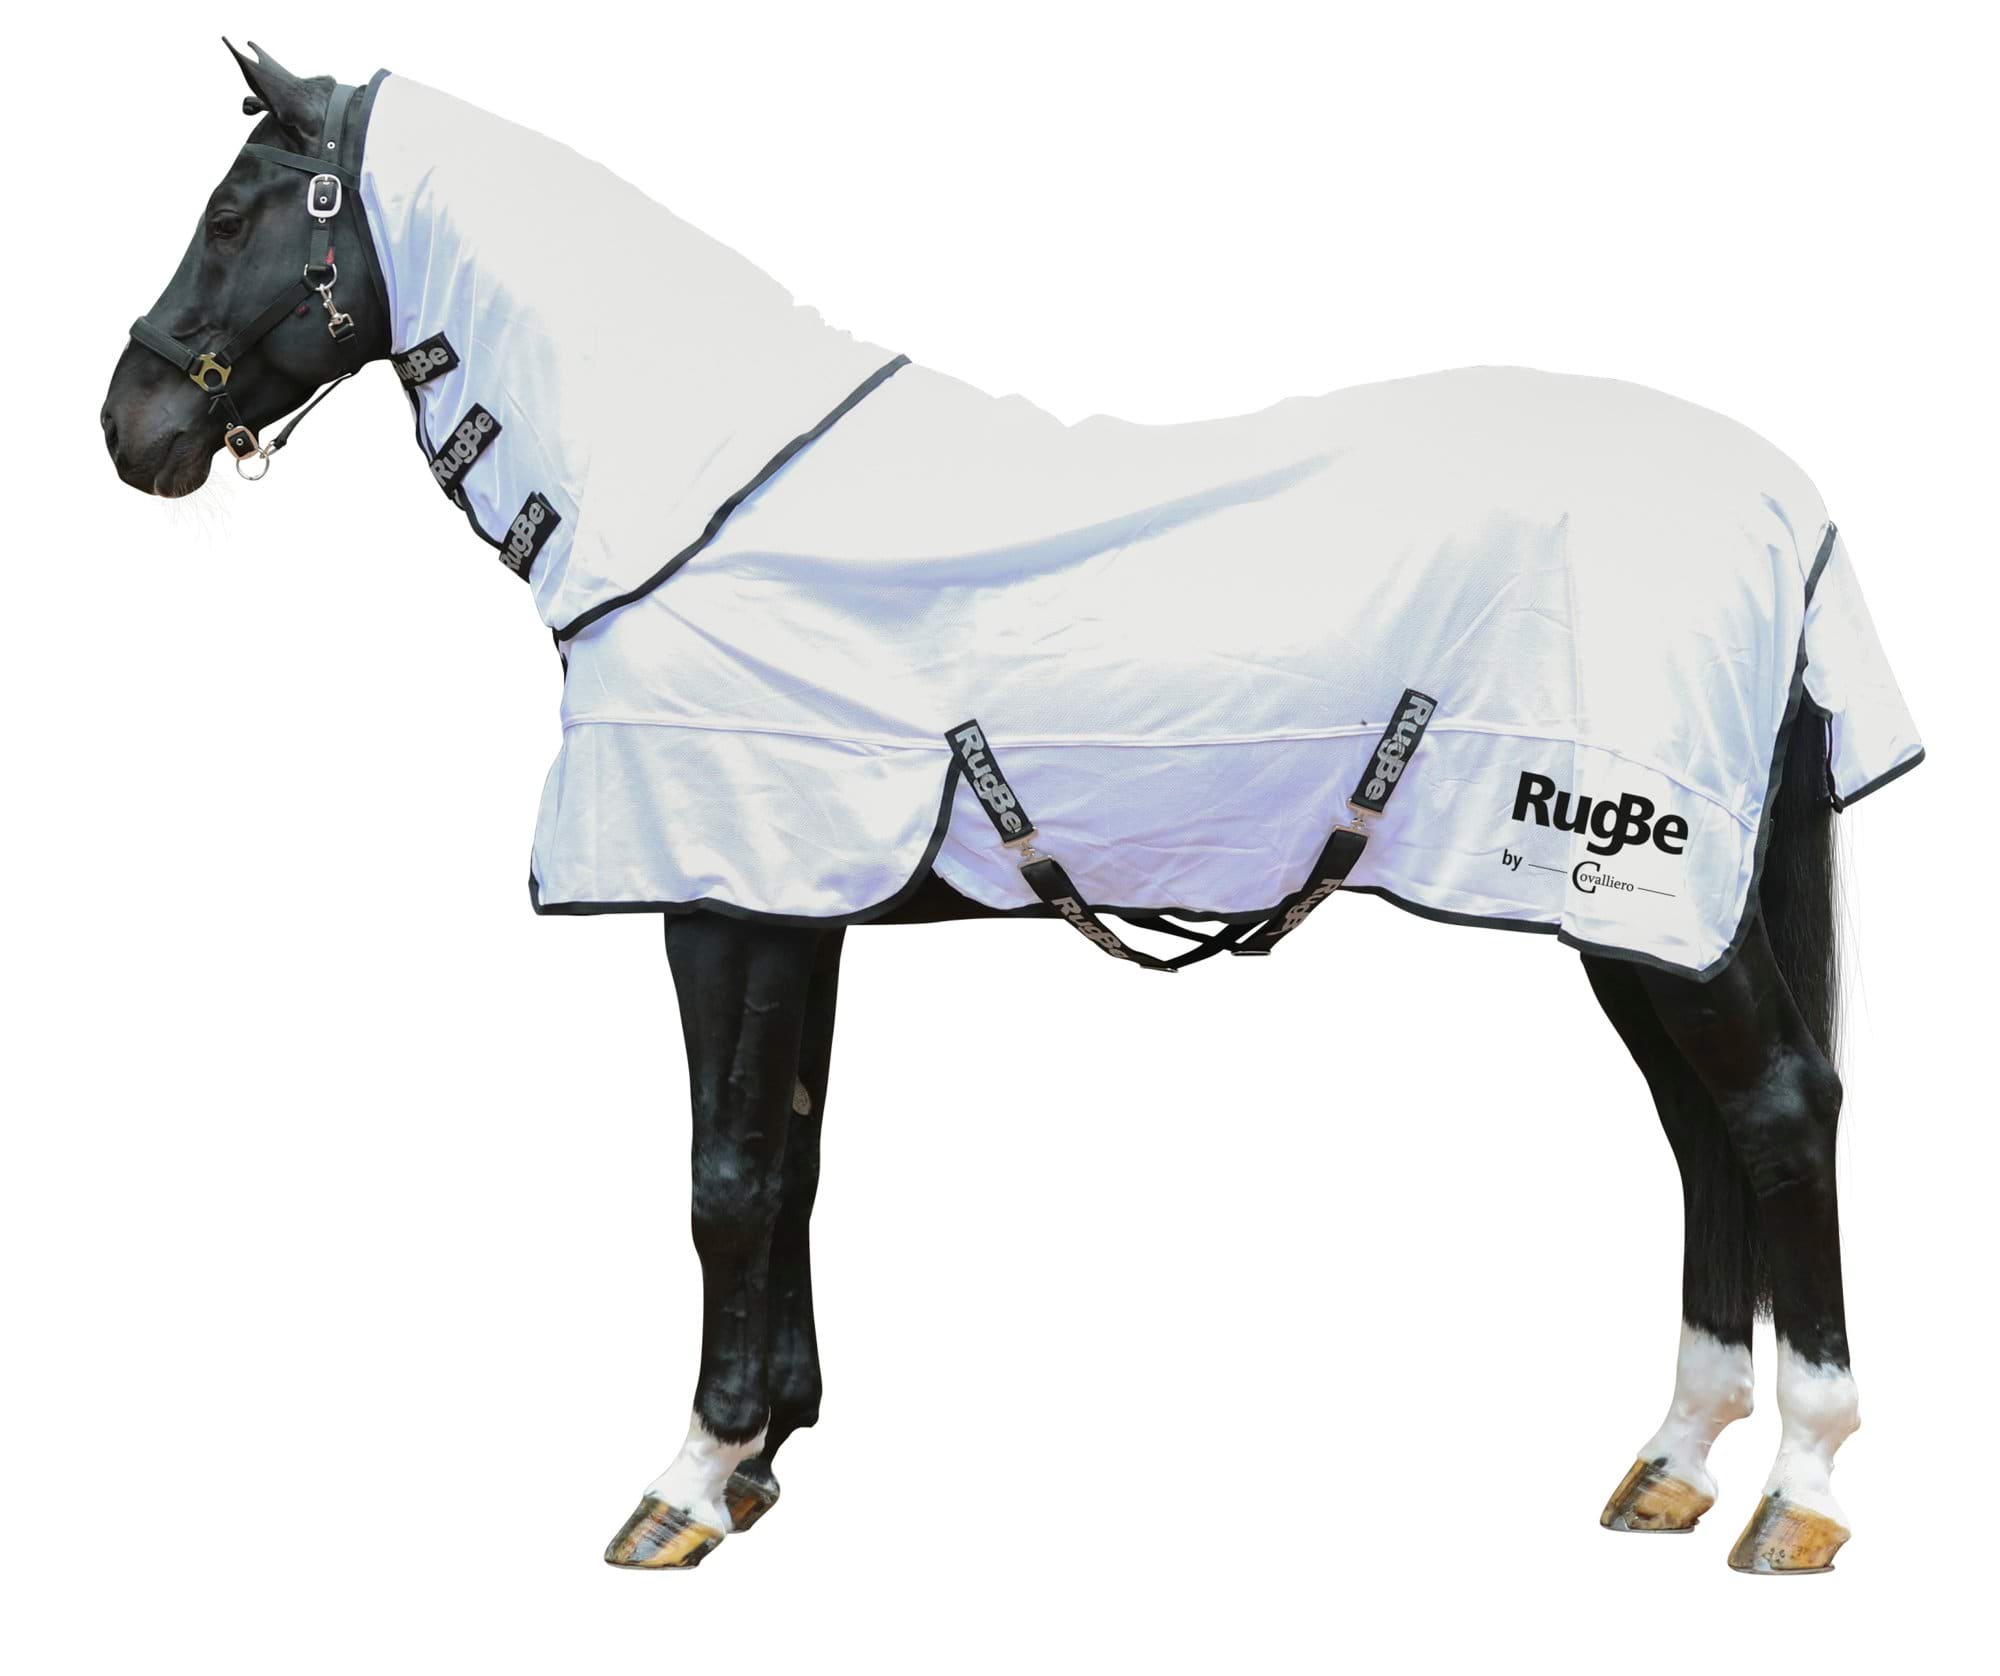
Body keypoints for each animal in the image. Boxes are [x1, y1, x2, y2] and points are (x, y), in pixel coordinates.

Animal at [101, 42, 1924, 1574]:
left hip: (1644, 890)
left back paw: (1799, 1491)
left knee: (1776, 1111)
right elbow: (795, 1156)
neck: (697, 504)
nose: (135, 427)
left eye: (239, 210)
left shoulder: (724, 901)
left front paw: (688, 1479)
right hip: (1632, 910)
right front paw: (765, 1455)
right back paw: (1675, 1460)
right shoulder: (796, 908)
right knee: (1700, 1131)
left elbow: (725, 1176)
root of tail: (1783, 503)